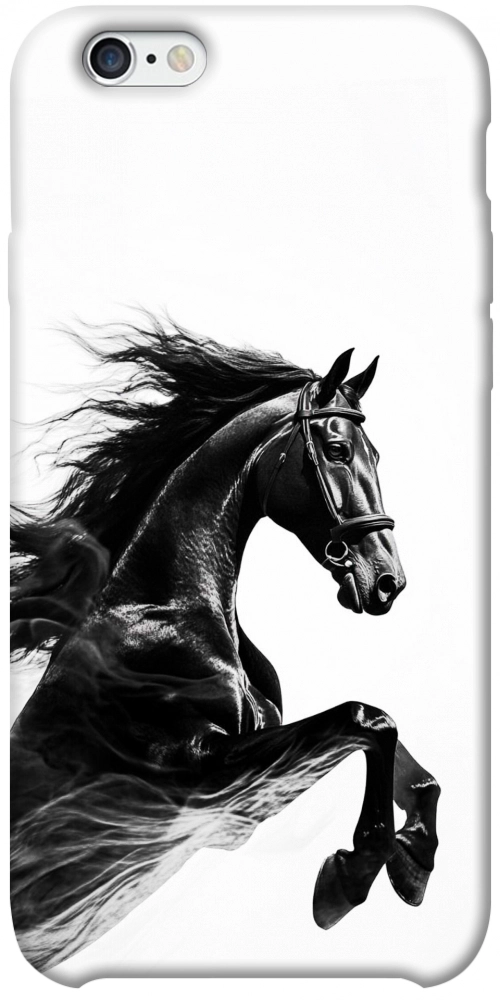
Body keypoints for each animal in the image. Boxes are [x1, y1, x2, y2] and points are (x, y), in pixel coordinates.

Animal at [10, 322, 440, 971]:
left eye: (377, 455)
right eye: (337, 450)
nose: (388, 581)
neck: (166, 613)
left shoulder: (242, 798)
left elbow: (400, 755)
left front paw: (414, 861)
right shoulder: (200, 778)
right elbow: (366, 719)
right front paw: (349, 879)